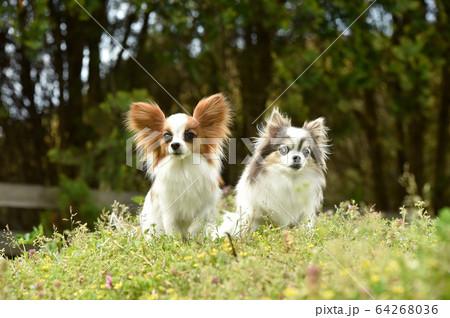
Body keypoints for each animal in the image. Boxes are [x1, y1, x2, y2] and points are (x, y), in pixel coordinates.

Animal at [127, 93, 230, 240]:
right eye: (167, 136)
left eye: (190, 135)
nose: (175, 144)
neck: (183, 167)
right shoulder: (169, 210)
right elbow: (173, 231)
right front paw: (178, 242)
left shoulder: (207, 204)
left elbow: (198, 221)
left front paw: (192, 236)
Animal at [219, 108, 328, 236]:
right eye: (284, 149)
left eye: (306, 152)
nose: (297, 157)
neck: (289, 180)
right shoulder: (254, 212)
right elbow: (249, 228)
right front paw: (243, 239)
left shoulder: (305, 214)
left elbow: (305, 228)